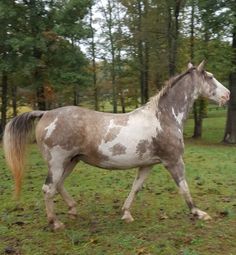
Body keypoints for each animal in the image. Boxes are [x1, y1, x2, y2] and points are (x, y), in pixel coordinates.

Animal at [3, 60, 229, 230]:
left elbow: (136, 188)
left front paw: (126, 214)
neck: (164, 117)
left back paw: (73, 209)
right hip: (58, 163)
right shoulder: (173, 161)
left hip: (71, 162)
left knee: (58, 186)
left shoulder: (147, 164)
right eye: (209, 76)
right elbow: (184, 187)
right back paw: (56, 223)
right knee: (48, 189)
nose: (227, 95)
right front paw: (199, 213)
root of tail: (46, 113)